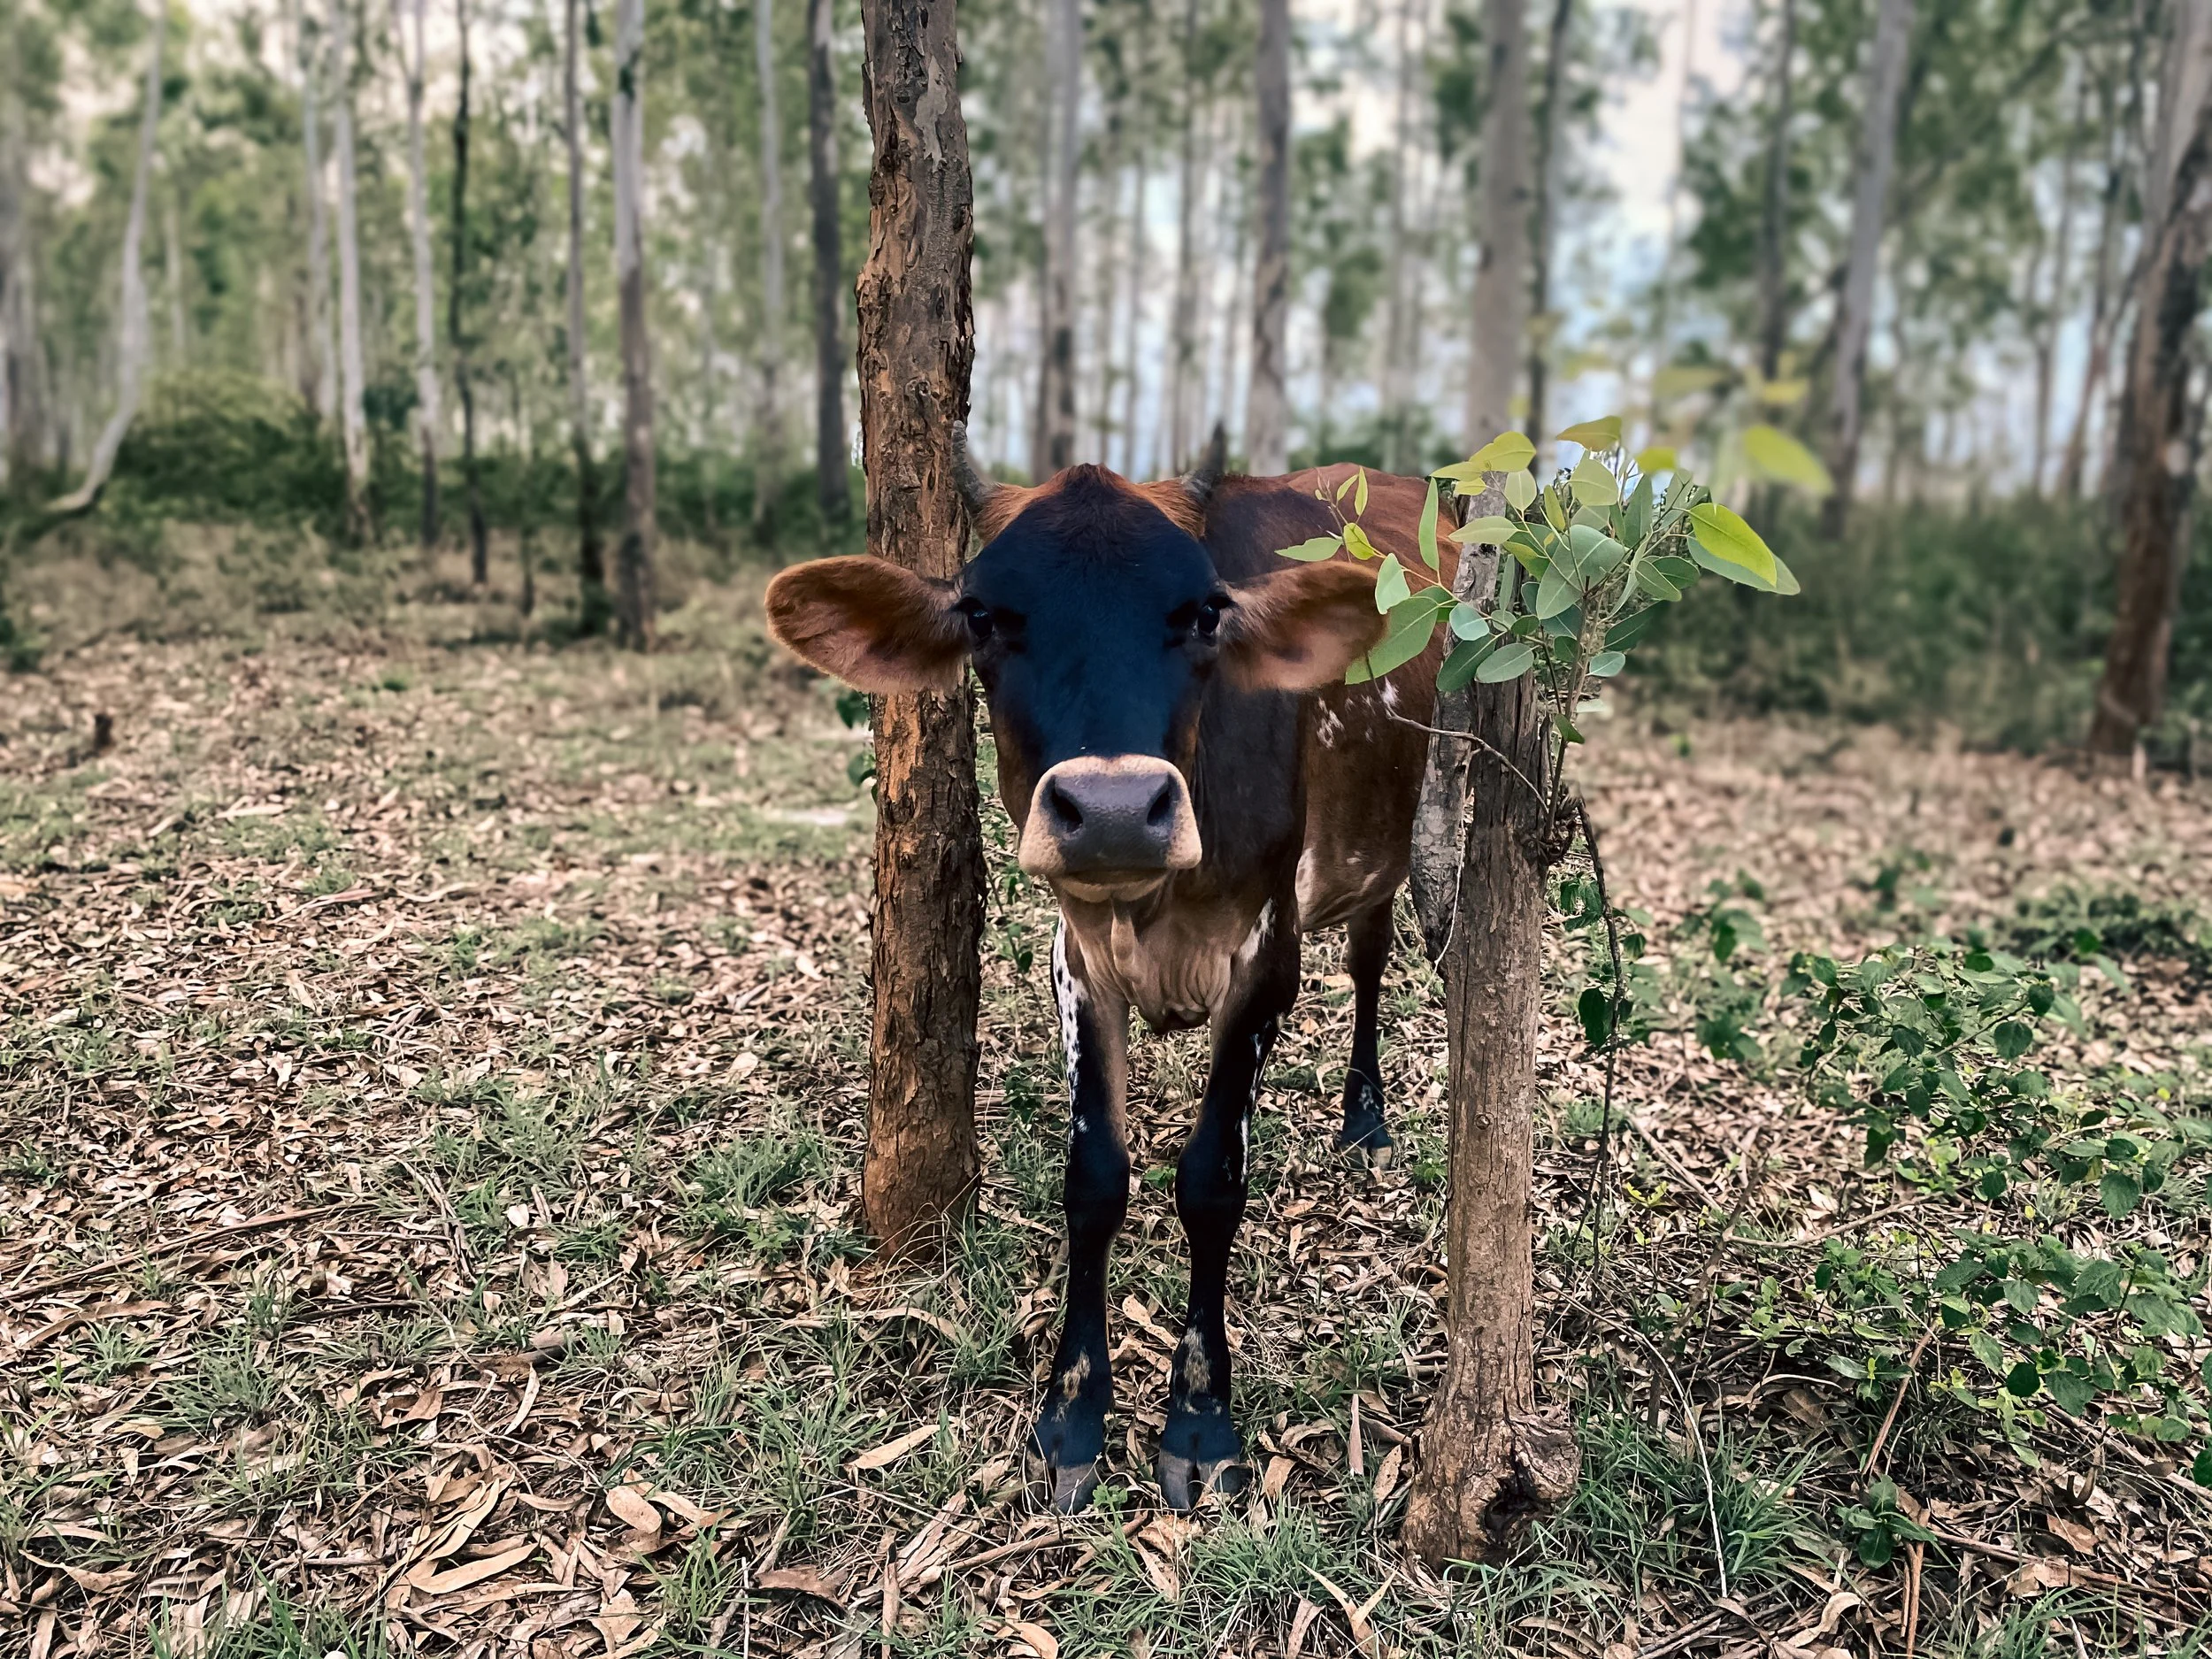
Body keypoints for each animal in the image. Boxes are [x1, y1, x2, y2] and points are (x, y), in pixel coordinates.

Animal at [763, 431, 1451, 1513]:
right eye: (984, 616)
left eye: (1204, 612)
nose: (1118, 811)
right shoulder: (1076, 960)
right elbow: (1093, 1178)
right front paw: (1073, 1409)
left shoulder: (1267, 955)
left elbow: (1212, 1179)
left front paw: (1201, 1419)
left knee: (1373, 953)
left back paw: (1366, 1119)